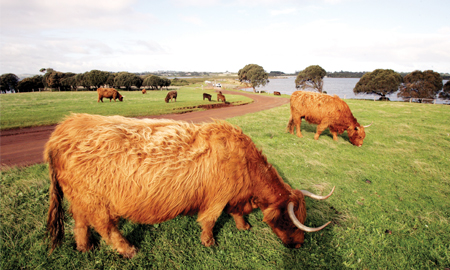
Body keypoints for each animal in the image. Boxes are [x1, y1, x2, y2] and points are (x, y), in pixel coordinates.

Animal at [45, 113, 334, 258]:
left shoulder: (234, 196)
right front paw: (209, 243)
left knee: (80, 223)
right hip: (93, 198)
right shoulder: (217, 197)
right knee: (104, 225)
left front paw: (244, 226)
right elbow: (209, 220)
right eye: (289, 222)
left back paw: (85, 248)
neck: (246, 167)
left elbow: (236, 213)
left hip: (80, 197)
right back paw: (129, 250)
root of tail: (61, 130)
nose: (299, 246)